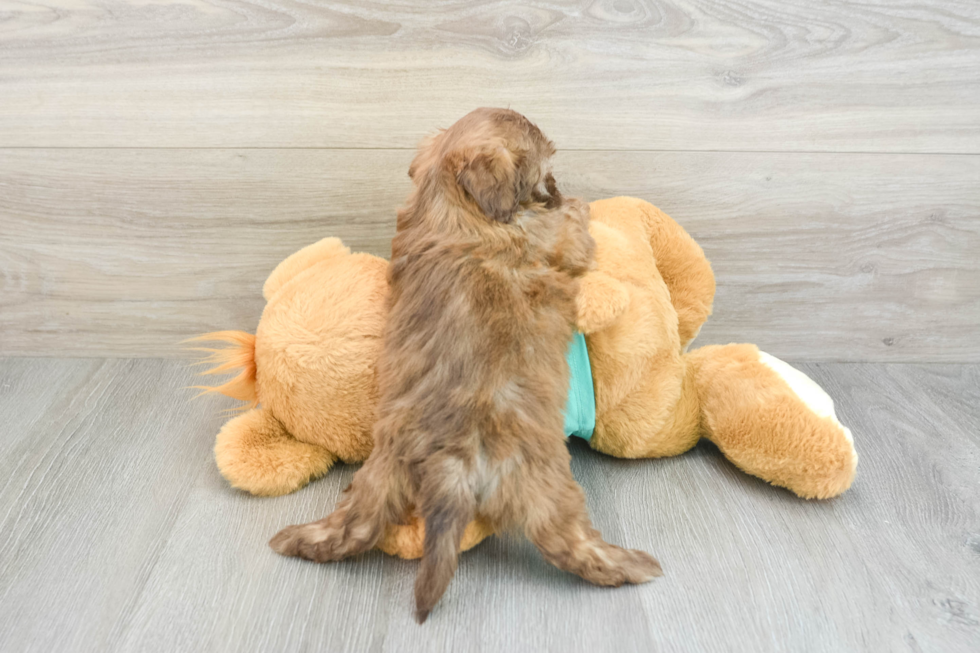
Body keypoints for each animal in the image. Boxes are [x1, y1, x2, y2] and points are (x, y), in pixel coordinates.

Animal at [272, 108, 664, 620]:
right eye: (542, 166)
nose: (555, 186)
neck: (450, 205)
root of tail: (451, 463)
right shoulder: (556, 238)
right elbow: (571, 227)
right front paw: (575, 204)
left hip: (380, 476)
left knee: (354, 527)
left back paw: (297, 540)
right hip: (545, 489)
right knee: (572, 545)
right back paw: (631, 565)